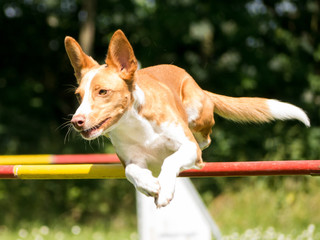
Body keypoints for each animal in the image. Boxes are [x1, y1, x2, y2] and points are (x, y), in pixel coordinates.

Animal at [64, 29, 310, 206]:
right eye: (78, 96)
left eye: (103, 92)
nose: (76, 122)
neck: (134, 124)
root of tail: (200, 88)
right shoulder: (131, 159)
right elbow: (131, 171)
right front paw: (149, 184)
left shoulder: (188, 147)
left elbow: (171, 160)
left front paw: (164, 190)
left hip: (197, 113)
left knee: (205, 139)